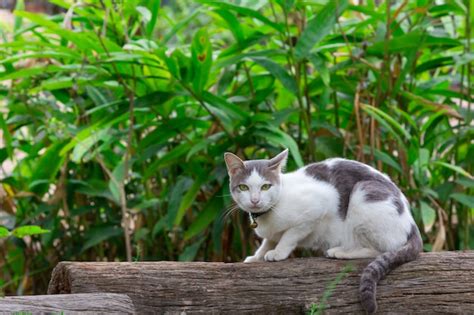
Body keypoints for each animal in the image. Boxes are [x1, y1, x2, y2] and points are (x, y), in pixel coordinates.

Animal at [225, 149, 422, 314]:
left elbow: (289, 236)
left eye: (266, 186)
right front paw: (257, 257)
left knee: (380, 249)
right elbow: (268, 241)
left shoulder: (316, 209)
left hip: (362, 194)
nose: (255, 200)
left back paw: (340, 252)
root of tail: (412, 224)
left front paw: (278, 252)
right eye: (243, 187)